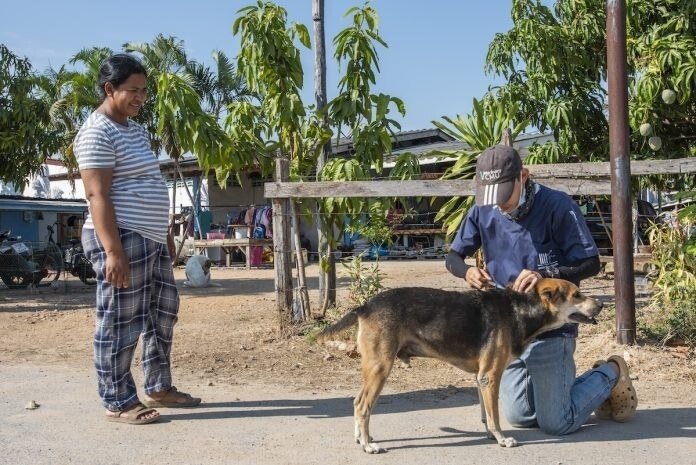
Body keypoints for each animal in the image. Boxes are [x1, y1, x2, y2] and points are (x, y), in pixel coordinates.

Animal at [318, 278, 600, 452]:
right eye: (577, 294)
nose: (601, 304)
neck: (520, 311)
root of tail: (366, 306)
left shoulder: (480, 378)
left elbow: (487, 414)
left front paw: (490, 435)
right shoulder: (490, 376)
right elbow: (495, 416)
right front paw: (502, 439)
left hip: (373, 367)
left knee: (357, 402)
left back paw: (361, 438)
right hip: (380, 368)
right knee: (363, 406)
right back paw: (368, 445)